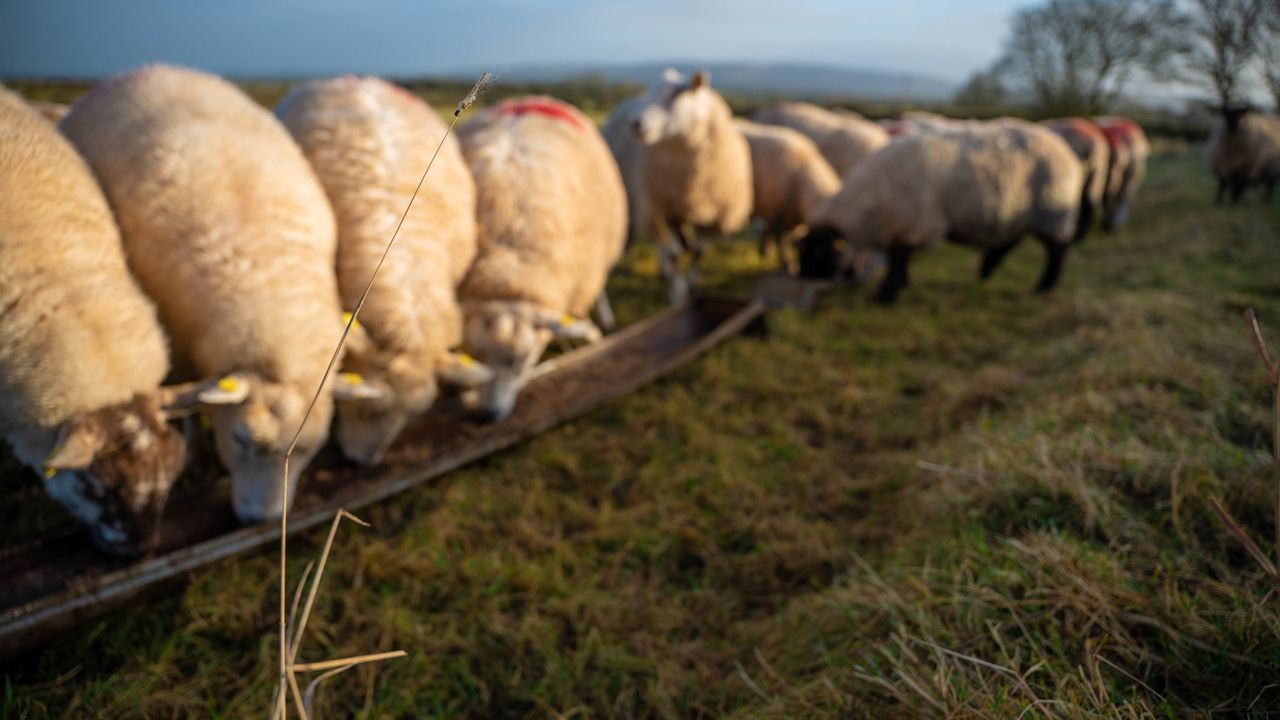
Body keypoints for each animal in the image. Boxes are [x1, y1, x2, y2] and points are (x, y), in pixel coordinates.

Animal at [61, 65, 346, 523]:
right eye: (243, 440)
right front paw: (196, 453)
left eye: (309, 449)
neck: (263, 272)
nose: (262, 521)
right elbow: (187, 399)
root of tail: (151, 67)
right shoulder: (175, 343)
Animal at [631, 69, 753, 305]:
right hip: (653, 206)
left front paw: (693, 286)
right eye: (649, 93)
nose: (637, 123)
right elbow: (674, 253)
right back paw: (665, 271)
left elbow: (699, 250)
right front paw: (678, 294)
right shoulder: (664, 209)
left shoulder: (712, 213)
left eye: (678, 94)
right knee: (664, 244)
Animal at [734, 119, 841, 272]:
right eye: (821, 250)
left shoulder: (777, 210)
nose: (835, 271)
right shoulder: (777, 211)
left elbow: (769, 231)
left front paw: (765, 252)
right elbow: (781, 239)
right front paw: (787, 264)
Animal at [797, 121, 1083, 304]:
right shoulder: (904, 225)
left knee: (1057, 250)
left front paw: (886, 295)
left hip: (1052, 210)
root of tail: (1064, 148)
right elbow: (900, 257)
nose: (802, 279)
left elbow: (898, 258)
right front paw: (901, 285)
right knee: (1010, 241)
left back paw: (1044, 286)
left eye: (820, 252)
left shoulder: (916, 224)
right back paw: (986, 270)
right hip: (1020, 211)